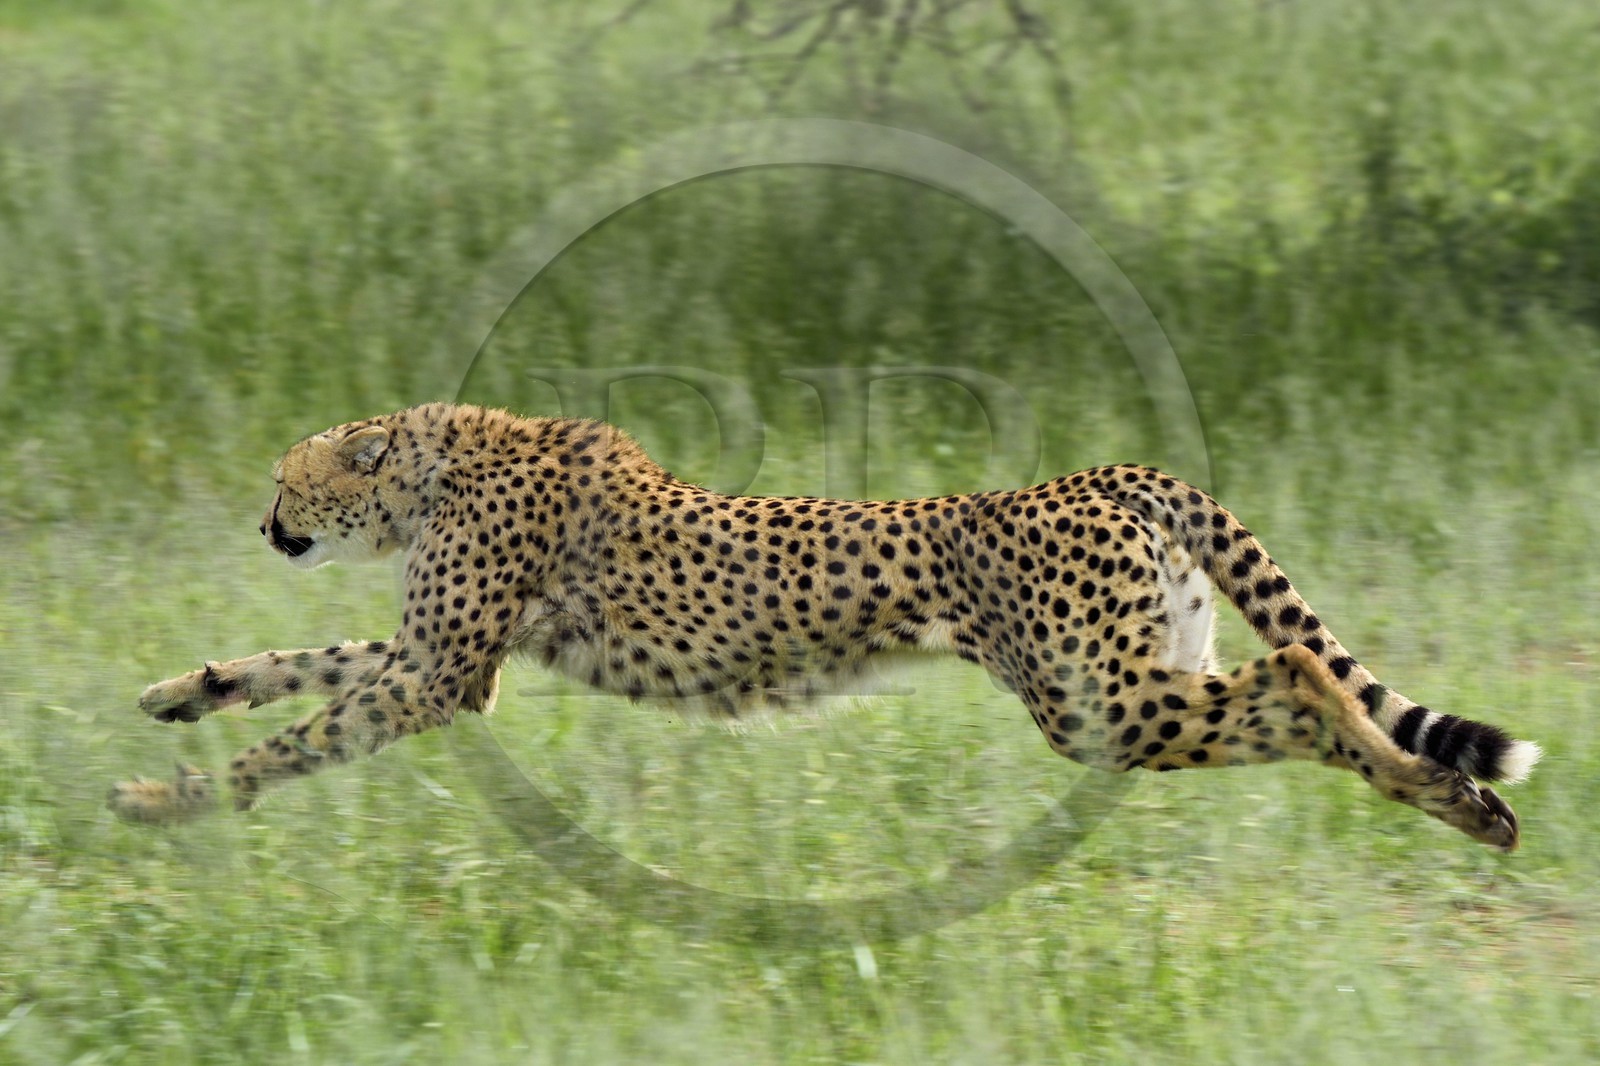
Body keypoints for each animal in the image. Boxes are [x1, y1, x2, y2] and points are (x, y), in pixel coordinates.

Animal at [108, 403, 1540, 849]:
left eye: (286, 480)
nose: (264, 525)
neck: (435, 462)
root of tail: (1104, 471)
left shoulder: (440, 674)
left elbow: (306, 732)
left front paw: (173, 799)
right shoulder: (454, 664)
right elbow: (304, 667)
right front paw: (186, 692)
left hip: (1097, 702)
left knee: (1300, 671)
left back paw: (1443, 793)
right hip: (1145, 673)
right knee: (1298, 681)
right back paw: (1459, 798)